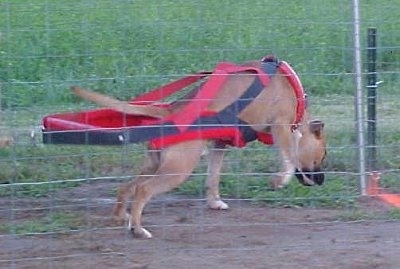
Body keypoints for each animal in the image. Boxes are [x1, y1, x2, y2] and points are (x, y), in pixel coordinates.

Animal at [70, 56, 324, 237]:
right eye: (322, 155)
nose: (322, 181)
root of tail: (170, 111)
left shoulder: (220, 145)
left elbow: (212, 178)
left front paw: (214, 202)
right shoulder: (280, 125)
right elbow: (290, 156)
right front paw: (280, 179)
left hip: (156, 164)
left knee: (127, 187)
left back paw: (123, 217)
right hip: (177, 170)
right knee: (143, 190)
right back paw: (138, 229)